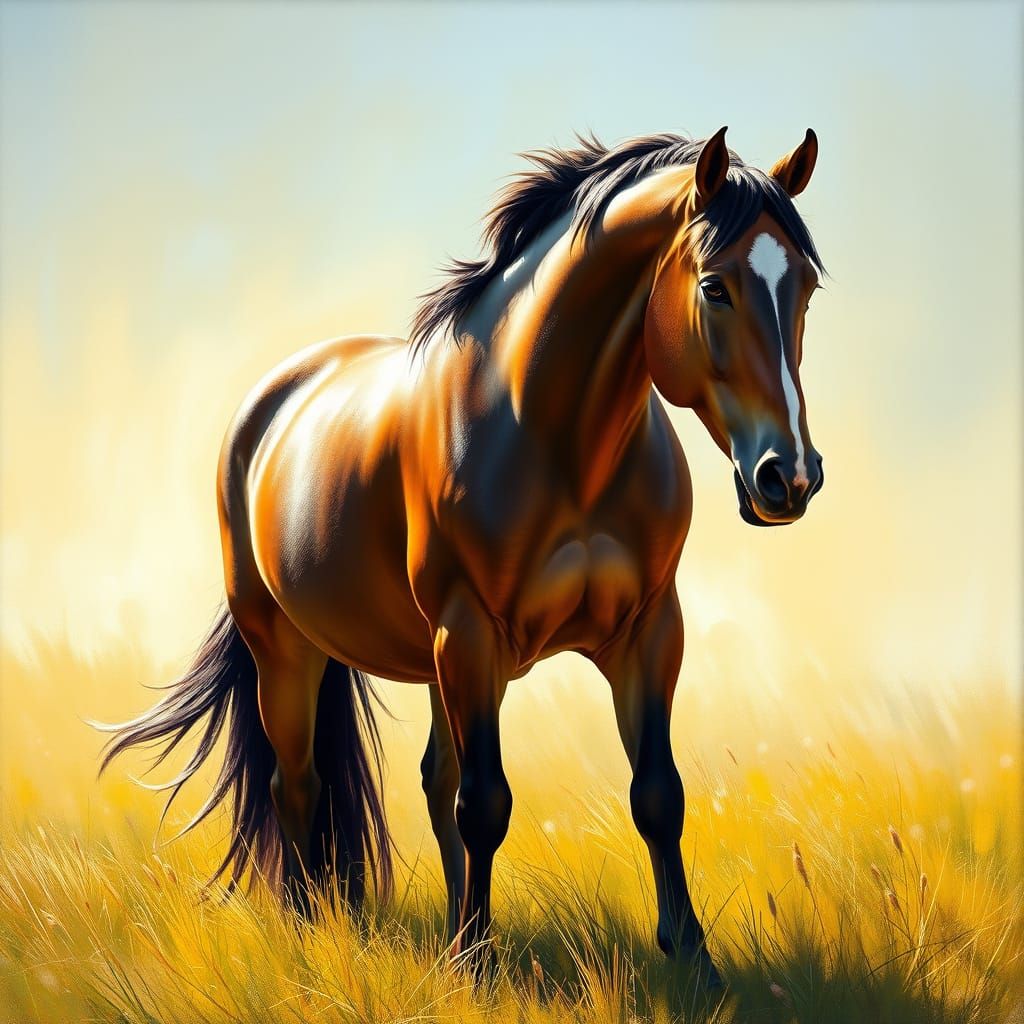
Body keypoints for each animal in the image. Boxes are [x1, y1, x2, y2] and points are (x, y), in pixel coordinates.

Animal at [99, 126, 825, 988]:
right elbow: (485, 803)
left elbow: (657, 794)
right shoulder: (471, 631)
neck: (558, 441)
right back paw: (314, 926)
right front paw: (475, 965)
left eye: (806, 289)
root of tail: (273, 398)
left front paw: (693, 960)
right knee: (298, 782)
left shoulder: (649, 632)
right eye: (715, 288)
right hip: (291, 648)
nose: (790, 477)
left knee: (427, 779)